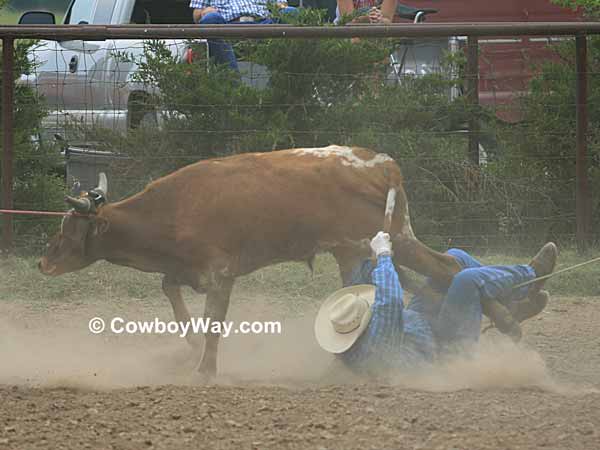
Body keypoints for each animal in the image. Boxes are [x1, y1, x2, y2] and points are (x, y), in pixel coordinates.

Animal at [38, 146, 460, 378]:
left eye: (69, 229)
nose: (43, 262)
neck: (174, 207)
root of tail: (382, 163)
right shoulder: (187, 269)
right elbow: (170, 288)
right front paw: (192, 346)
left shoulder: (220, 273)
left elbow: (213, 323)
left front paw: (205, 370)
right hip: (359, 250)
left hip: (397, 240)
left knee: (449, 270)